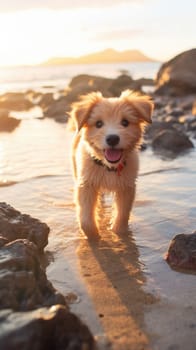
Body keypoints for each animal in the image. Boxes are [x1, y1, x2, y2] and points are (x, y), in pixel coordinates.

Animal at [69, 89, 154, 239]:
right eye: (98, 124)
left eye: (125, 122)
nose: (112, 138)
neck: (109, 167)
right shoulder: (86, 184)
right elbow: (85, 218)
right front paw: (93, 236)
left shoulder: (127, 186)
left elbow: (122, 214)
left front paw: (119, 233)